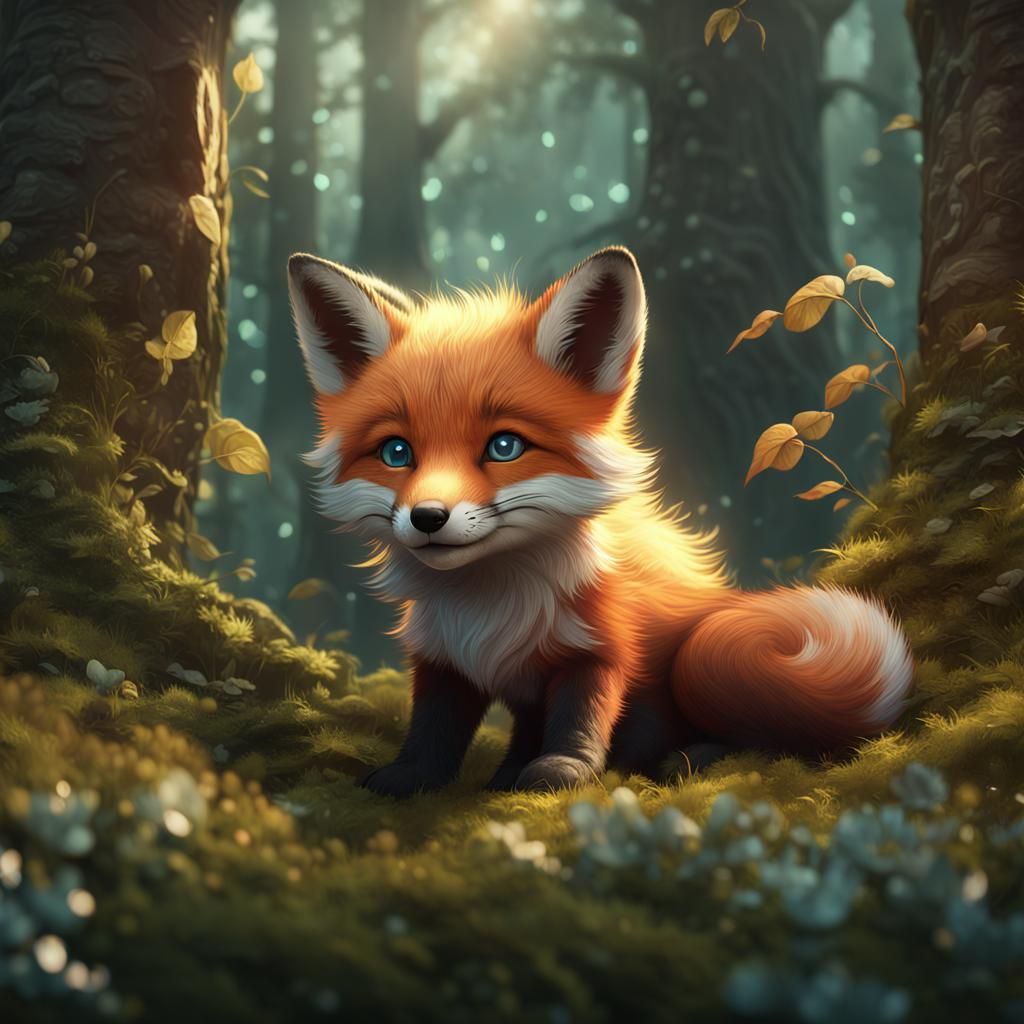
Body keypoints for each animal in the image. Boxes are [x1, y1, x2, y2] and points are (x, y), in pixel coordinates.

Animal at [287, 245, 914, 796]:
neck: (490, 606)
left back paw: (692, 756)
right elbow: (433, 728)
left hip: (707, 657)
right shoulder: (443, 656)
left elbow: (581, 715)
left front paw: (563, 769)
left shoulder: (601, 643)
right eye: (396, 453)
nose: (427, 517)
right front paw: (413, 777)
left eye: (505, 446)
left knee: (777, 736)